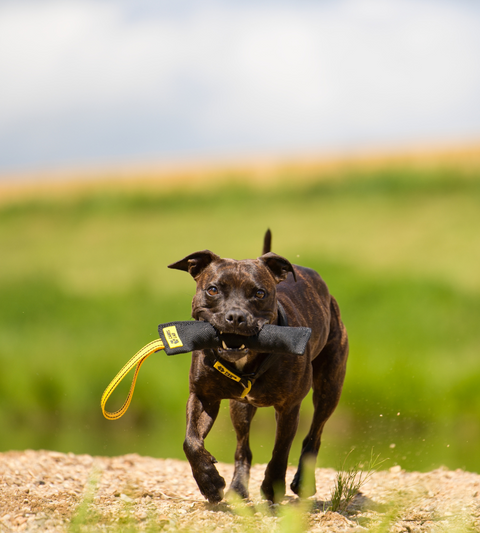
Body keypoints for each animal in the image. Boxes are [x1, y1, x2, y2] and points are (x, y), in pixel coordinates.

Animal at [169, 231, 348, 500]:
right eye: (212, 290)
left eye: (260, 293)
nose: (236, 316)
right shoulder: (202, 397)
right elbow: (190, 441)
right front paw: (209, 481)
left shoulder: (289, 408)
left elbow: (280, 451)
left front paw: (272, 487)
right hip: (240, 408)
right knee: (243, 447)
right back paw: (238, 487)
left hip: (329, 387)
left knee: (314, 434)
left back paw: (302, 482)